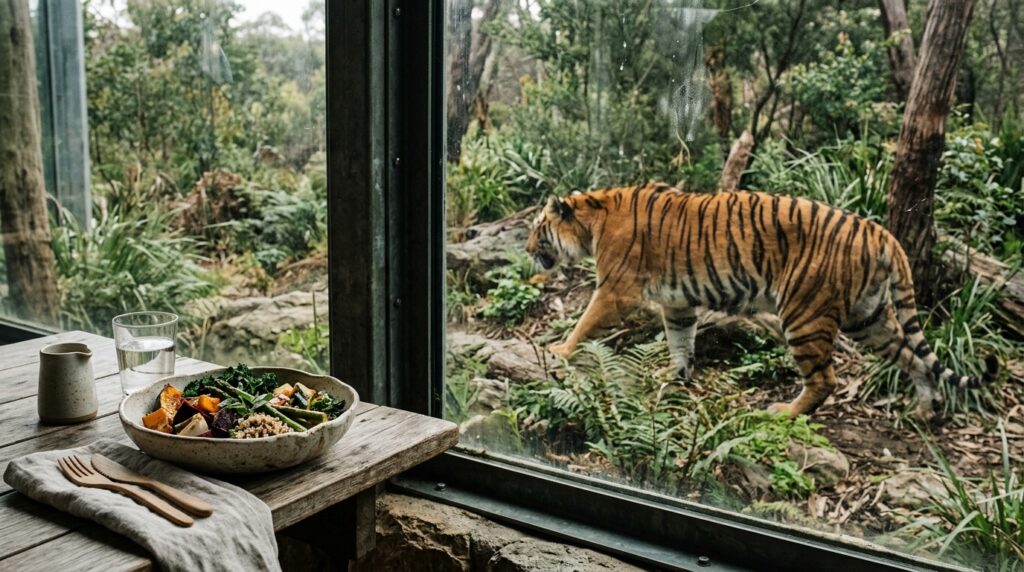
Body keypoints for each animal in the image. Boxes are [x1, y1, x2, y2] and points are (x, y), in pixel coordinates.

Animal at [525, 183, 996, 421]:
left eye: (536, 228)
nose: (527, 248)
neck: (593, 219)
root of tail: (880, 233)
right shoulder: (678, 303)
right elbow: (680, 340)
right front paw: (674, 375)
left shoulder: (616, 290)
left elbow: (585, 321)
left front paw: (559, 350)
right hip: (870, 318)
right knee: (913, 357)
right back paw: (925, 410)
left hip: (804, 313)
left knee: (826, 378)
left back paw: (784, 412)